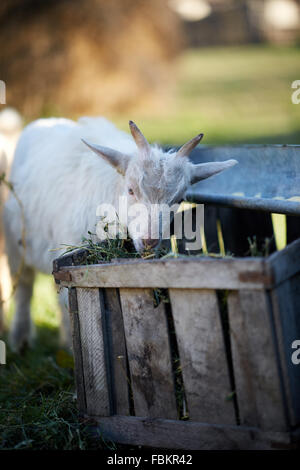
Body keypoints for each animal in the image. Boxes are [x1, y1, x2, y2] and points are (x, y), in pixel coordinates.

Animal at [2, 116, 237, 352]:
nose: (150, 241)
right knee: (24, 287)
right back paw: (21, 340)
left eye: (179, 199)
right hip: (16, 243)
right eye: (131, 190)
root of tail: (45, 121)